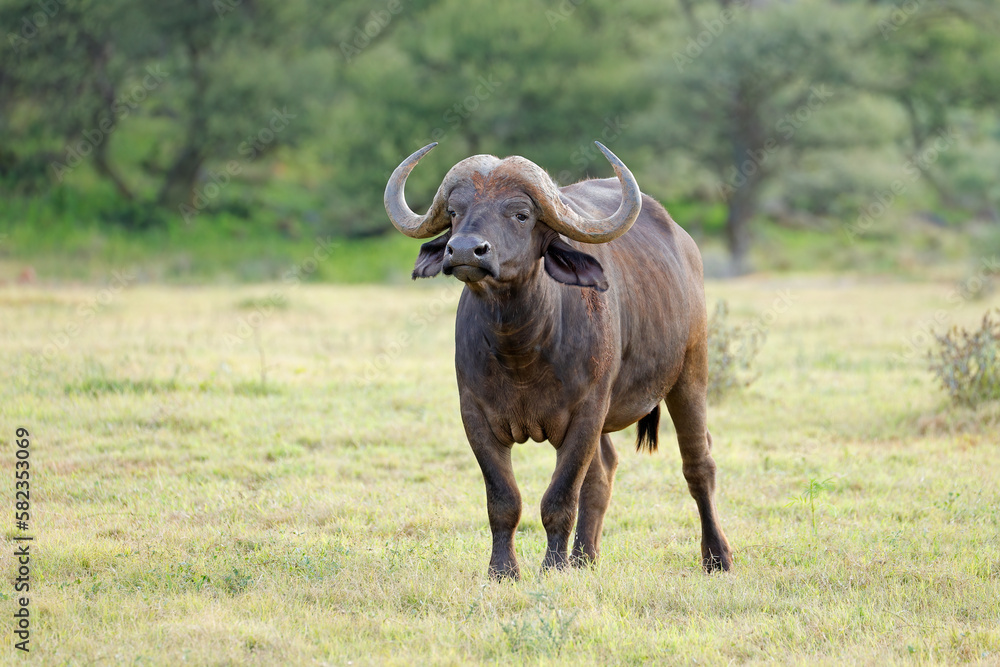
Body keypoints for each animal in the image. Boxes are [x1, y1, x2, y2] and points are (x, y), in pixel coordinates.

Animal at [384, 142, 733, 579]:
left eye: (521, 213)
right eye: (454, 211)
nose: (464, 250)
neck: (521, 350)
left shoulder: (586, 413)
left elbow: (560, 497)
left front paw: (552, 566)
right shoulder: (474, 415)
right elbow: (504, 500)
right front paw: (503, 571)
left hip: (690, 373)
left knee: (698, 464)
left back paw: (717, 556)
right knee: (603, 473)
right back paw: (585, 557)